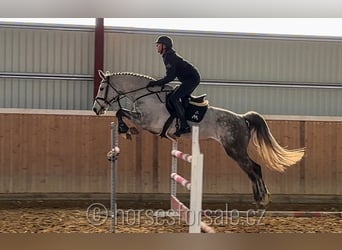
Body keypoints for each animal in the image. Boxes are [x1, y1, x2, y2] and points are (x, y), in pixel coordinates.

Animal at [92, 70, 304, 207]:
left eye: (102, 88)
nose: (96, 109)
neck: (146, 96)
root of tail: (241, 118)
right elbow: (121, 112)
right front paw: (127, 131)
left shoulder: (147, 122)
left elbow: (120, 112)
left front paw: (125, 130)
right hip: (236, 150)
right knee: (254, 169)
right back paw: (259, 198)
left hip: (234, 149)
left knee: (254, 169)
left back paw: (262, 199)